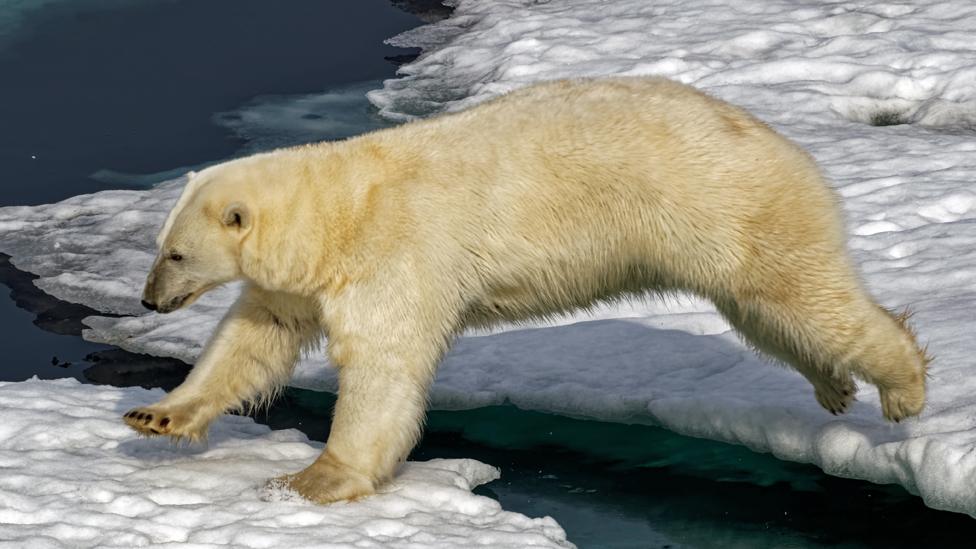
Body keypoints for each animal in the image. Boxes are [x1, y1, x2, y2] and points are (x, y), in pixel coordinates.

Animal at [124, 76, 932, 500]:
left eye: (175, 252)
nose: (148, 301)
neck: (343, 204)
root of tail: (791, 148)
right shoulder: (305, 276)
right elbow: (254, 340)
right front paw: (155, 415)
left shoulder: (394, 253)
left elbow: (383, 365)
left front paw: (314, 478)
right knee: (770, 315)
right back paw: (833, 387)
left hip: (735, 208)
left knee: (803, 297)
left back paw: (904, 388)